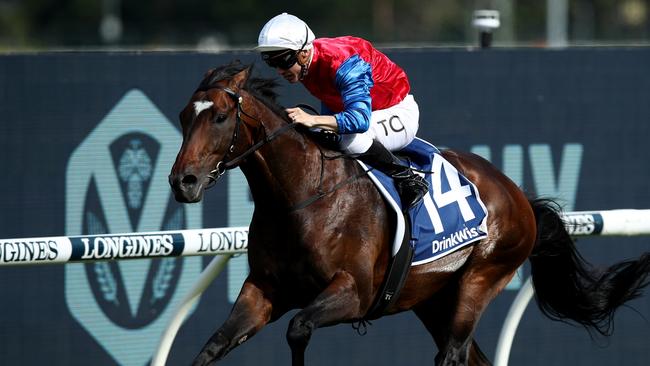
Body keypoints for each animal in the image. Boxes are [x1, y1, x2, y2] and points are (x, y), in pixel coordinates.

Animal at [168, 61, 648, 364]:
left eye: (221, 116)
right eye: (184, 115)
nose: (182, 181)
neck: (300, 196)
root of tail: (516, 194)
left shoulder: (353, 293)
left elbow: (298, 329)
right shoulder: (264, 290)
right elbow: (213, 345)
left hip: (482, 278)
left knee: (452, 354)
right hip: (431, 298)